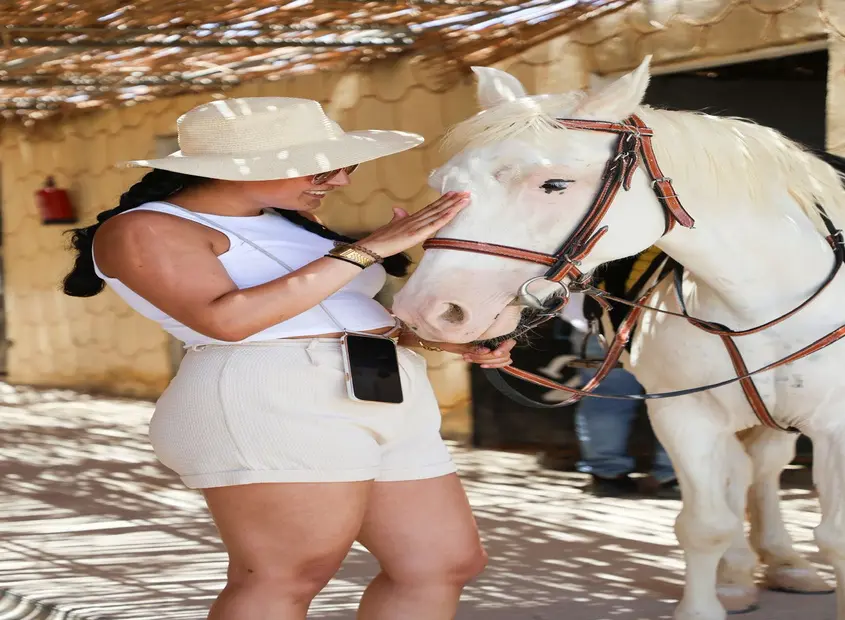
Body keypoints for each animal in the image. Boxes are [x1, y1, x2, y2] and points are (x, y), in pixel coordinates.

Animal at [391, 57, 842, 620]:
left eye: (555, 184)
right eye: (444, 184)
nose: (427, 310)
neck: (760, 299)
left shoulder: (835, 427)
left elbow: (834, 538)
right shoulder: (684, 416)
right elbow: (704, 525)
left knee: (763, 466)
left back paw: (785, 563)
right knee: (745, 470)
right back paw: (741, 574)